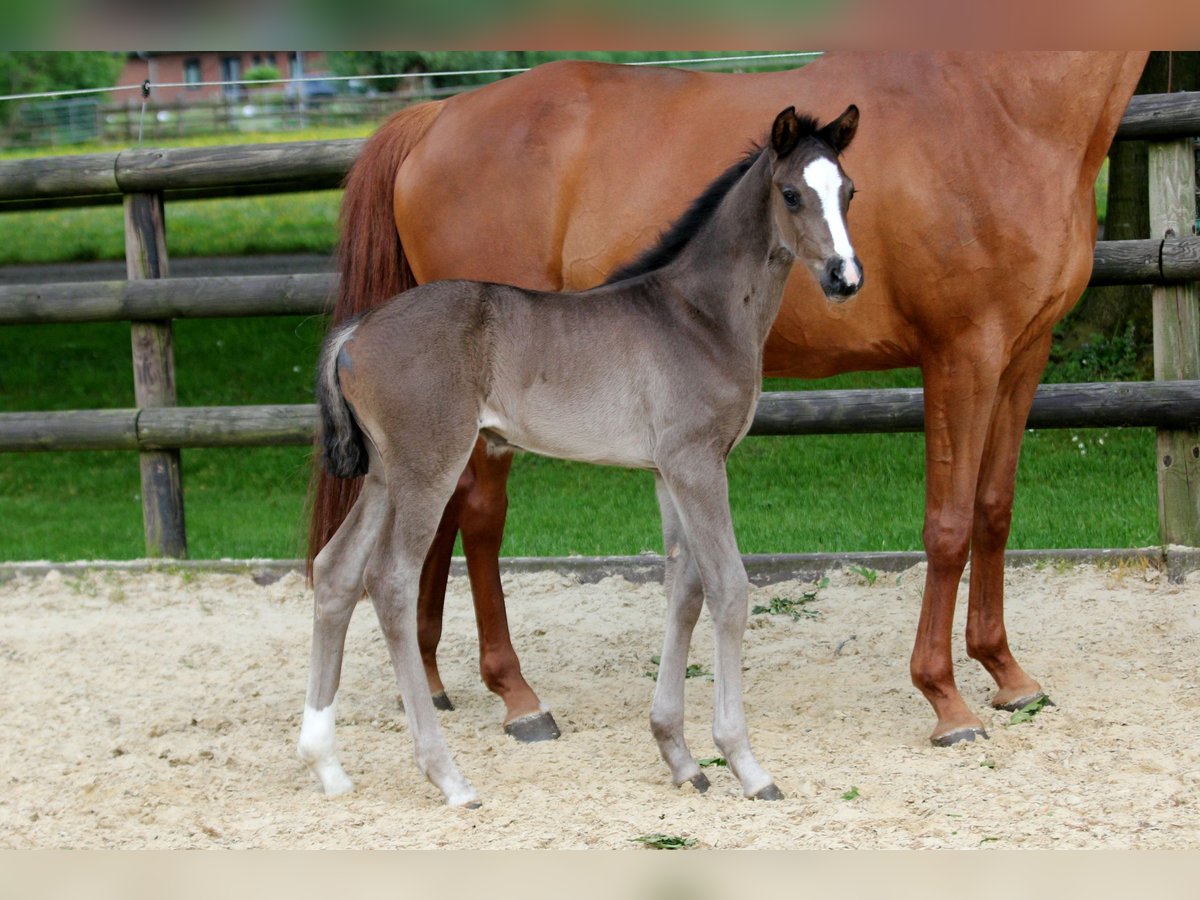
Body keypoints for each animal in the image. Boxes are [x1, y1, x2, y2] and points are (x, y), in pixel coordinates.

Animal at [304, 105, 859, 811]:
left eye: (849, 192)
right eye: (791, 194)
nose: (845, 277)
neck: (697, 315)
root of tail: (356, 328)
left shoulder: (667, 473)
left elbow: (684, 589)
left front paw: (680, 756)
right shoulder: (698, 463)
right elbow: (730, 588)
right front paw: (746, 764)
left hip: (384, 476)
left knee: (336, 570)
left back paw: (326, 764)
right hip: (428, 467)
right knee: (391, 581)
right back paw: (449, 777)